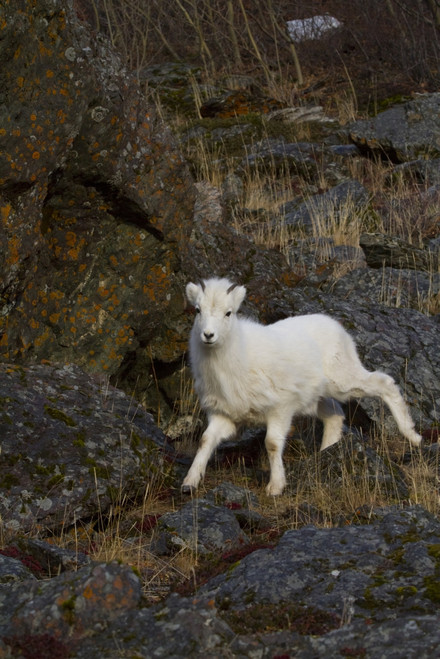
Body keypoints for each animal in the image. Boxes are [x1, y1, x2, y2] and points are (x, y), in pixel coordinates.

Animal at [182, 277, 422, 496]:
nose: (208, 335)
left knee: (384, 383)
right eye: (198, 310)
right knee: (335, 414)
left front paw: (275, 487)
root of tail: (338, 329)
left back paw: (413, 436)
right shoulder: (223, 415)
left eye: (228, 313)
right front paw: (189, 483)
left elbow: (272, 444)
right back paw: (325, 452)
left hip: (342, 381)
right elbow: (205, 441)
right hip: (315, 398)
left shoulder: (280, 409)